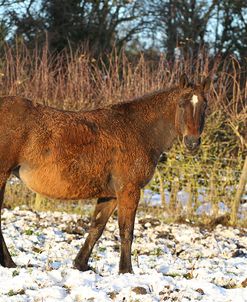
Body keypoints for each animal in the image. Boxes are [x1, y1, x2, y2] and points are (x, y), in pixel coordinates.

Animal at [0, 73, 210, 274]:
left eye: (205, 106)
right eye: (181, 104)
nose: (192, 142)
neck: (139, 129)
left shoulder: (110, 195)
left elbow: (97, 227)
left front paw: (80, 264)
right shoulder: (129, 190)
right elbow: (126, 231)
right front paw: (126, 270)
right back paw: (9, 263)